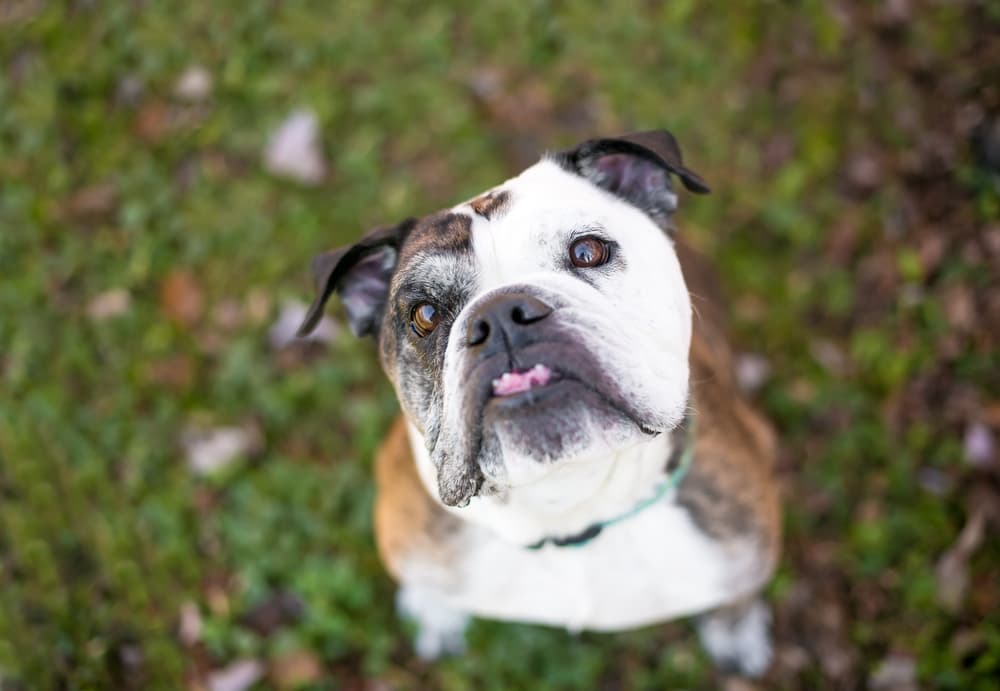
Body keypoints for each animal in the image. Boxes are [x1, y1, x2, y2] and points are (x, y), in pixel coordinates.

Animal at [294, 130, 780, 676]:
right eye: (424, 314)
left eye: (588, 251)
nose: (502, 314)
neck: (565, 502)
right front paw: (433, 612)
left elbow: (736, 597)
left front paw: (736, 631)